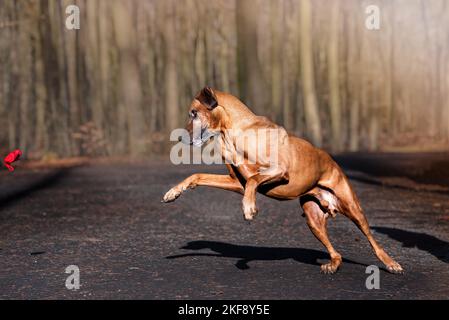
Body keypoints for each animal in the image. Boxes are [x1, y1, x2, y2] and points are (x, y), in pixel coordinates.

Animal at [164, 87, 402, 276]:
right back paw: (332, 264)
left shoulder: (279, 170)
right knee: (337, 254)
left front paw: (249, 208)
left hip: (353, 208)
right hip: (313, 219)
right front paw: (174, 192)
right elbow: (198, 176)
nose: (179, 138)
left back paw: (391, 263)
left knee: (372, 239)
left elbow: (254, 179)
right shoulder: (236, 183)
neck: (234, 132)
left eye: (193, 113)